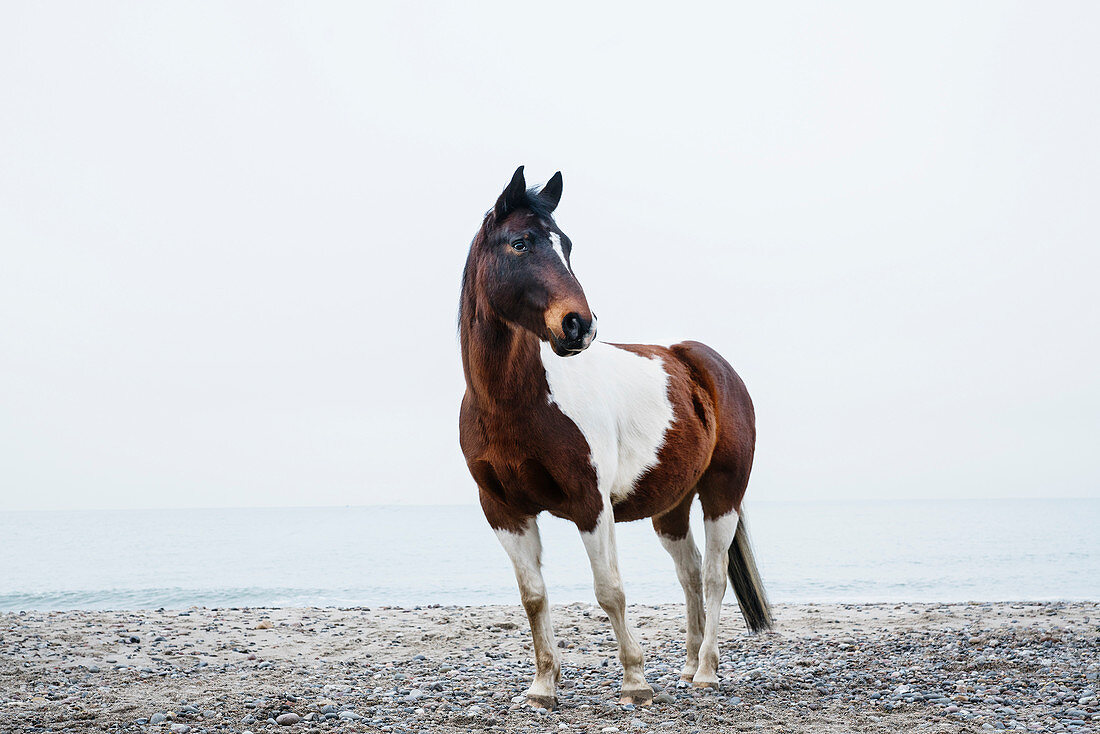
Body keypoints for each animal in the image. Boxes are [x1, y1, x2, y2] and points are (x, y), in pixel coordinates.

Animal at [459, 168, 770, 713]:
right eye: (521, 243)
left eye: (566, 245)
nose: (579, 325)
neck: (512, 404)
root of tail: (706, 364)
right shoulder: (503, 511)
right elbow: (533, 595)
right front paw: (543, 688)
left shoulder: (591, 503)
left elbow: (610, 591)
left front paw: (635, 682)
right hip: (671, 507)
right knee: (690, 574)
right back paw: (688, 666)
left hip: (722, 496)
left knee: (713, 576)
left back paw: (706, 672)